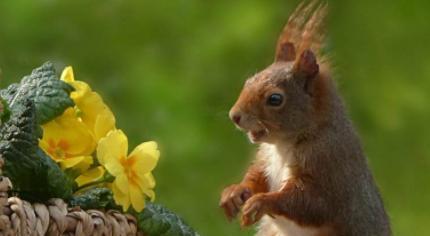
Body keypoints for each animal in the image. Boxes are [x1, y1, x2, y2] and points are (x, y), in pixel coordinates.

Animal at [220, 0, 392, 235]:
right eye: (248, 81)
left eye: (275, 99)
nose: (234, 115)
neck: (284, 145)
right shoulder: (266, 158)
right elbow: (257, 176)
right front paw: (234, 192)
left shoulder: (330, 165)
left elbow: (311, 203)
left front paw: (262, 202)